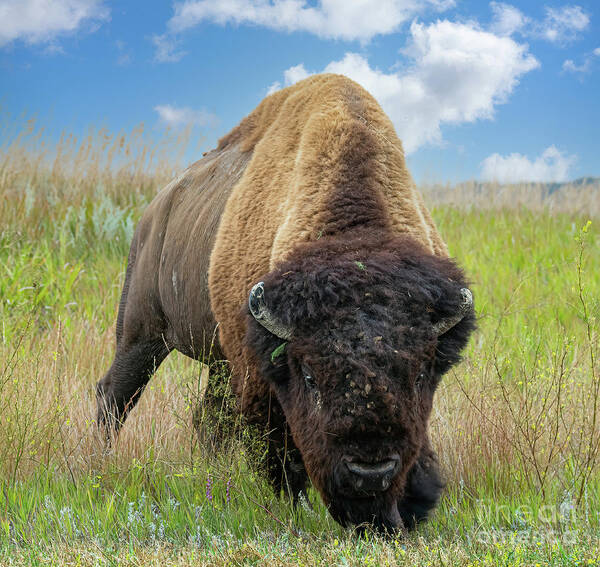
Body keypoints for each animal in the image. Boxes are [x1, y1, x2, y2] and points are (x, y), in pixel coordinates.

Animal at [97, 74, 474, 532]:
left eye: (420, 374)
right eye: (309, 376)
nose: (369, 473)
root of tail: (155, 210)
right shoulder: (261, 379)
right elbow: (279, 449)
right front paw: (296, 506)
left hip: (218, 358)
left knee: (207, 420)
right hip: (141, 332)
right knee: (114, 395)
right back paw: (99, 465)